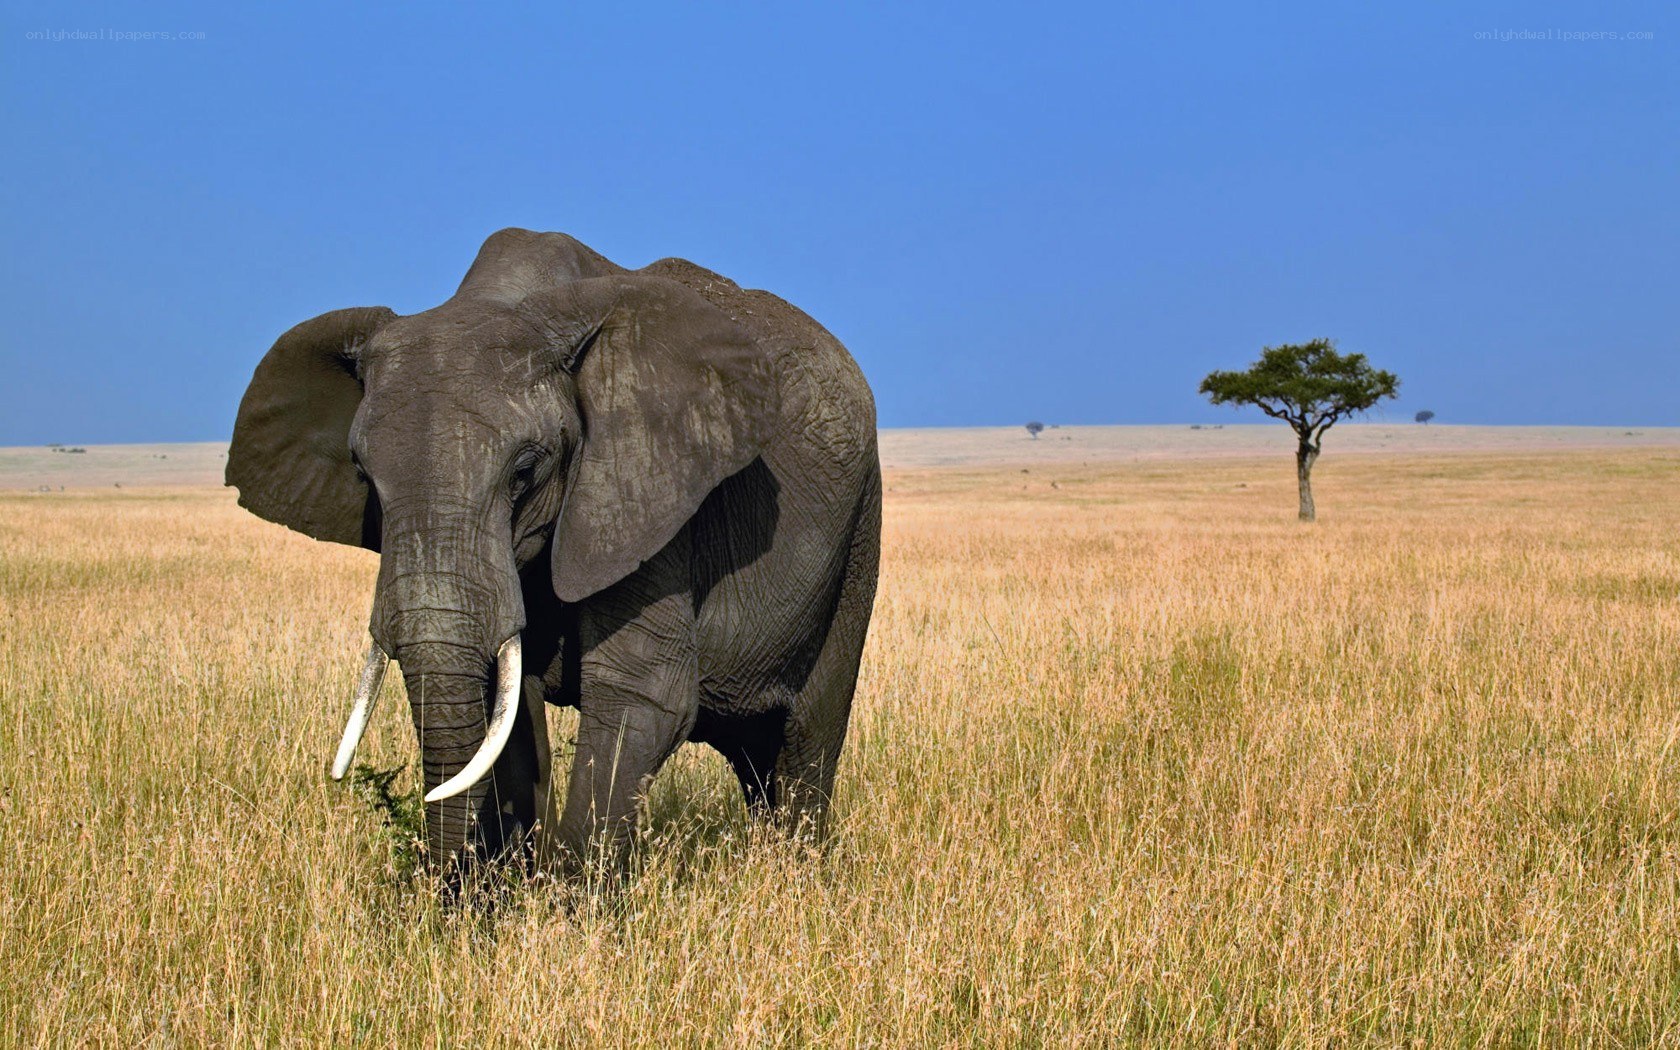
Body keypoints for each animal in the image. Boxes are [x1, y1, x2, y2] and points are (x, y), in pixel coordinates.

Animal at [226, 228, 880, 878]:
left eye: (524, 472)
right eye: (363, 475)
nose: (445, 886)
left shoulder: (644, 492)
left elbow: (643, 692)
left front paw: (569, 898)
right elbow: (509, 709)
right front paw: (504, 890)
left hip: (858, 534)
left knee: (804, 739)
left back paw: (795, 872)